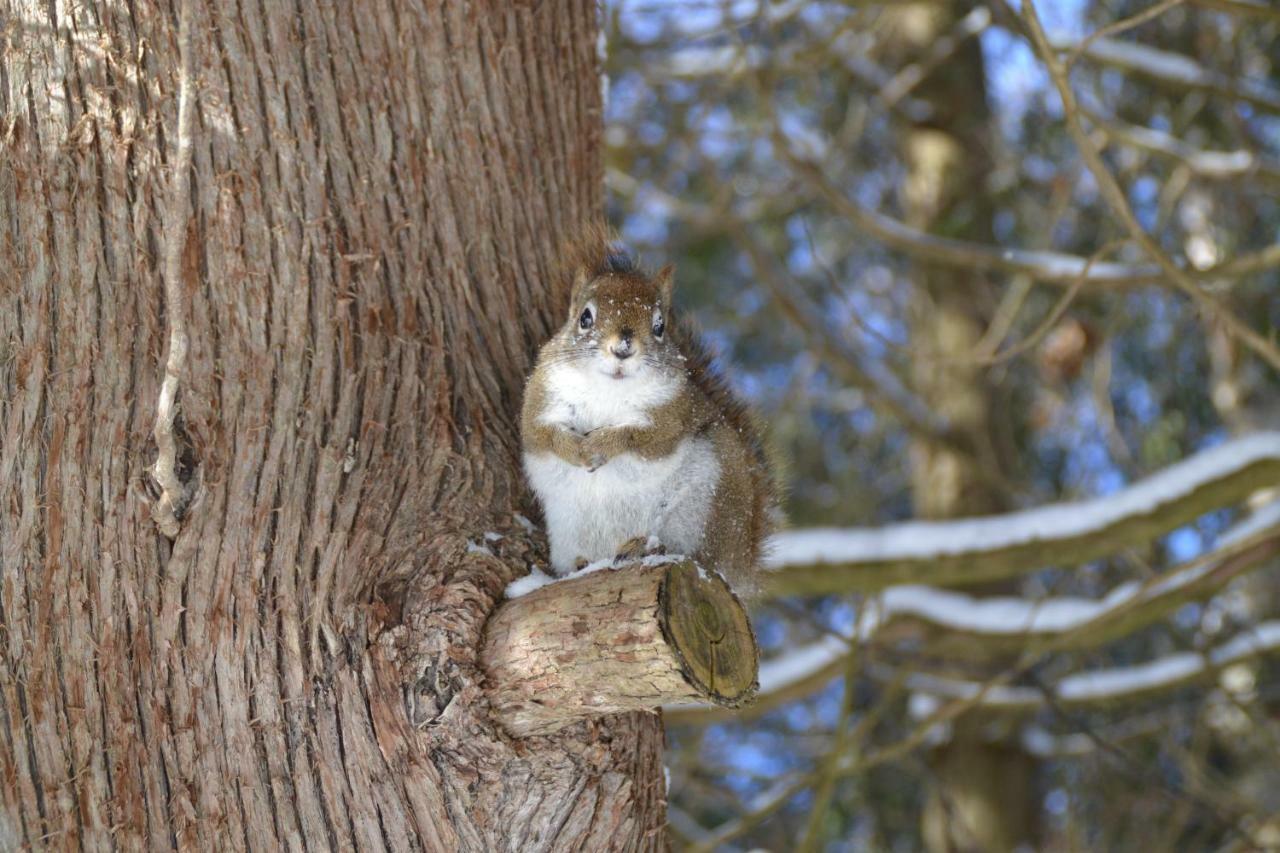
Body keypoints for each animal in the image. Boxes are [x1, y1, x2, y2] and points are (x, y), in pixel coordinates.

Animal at [522, 229, 778, 594]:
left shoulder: (670, 417)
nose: (622, 348)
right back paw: (582, 564)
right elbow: (543, 436)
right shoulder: (540, 400)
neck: (608, 389)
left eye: (659, 326)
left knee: (703, 557)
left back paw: (648, 547)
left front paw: (602, 445)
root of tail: (742, 563)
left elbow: (640, 439)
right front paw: (575, 449)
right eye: (585, 318)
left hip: (708, 506)